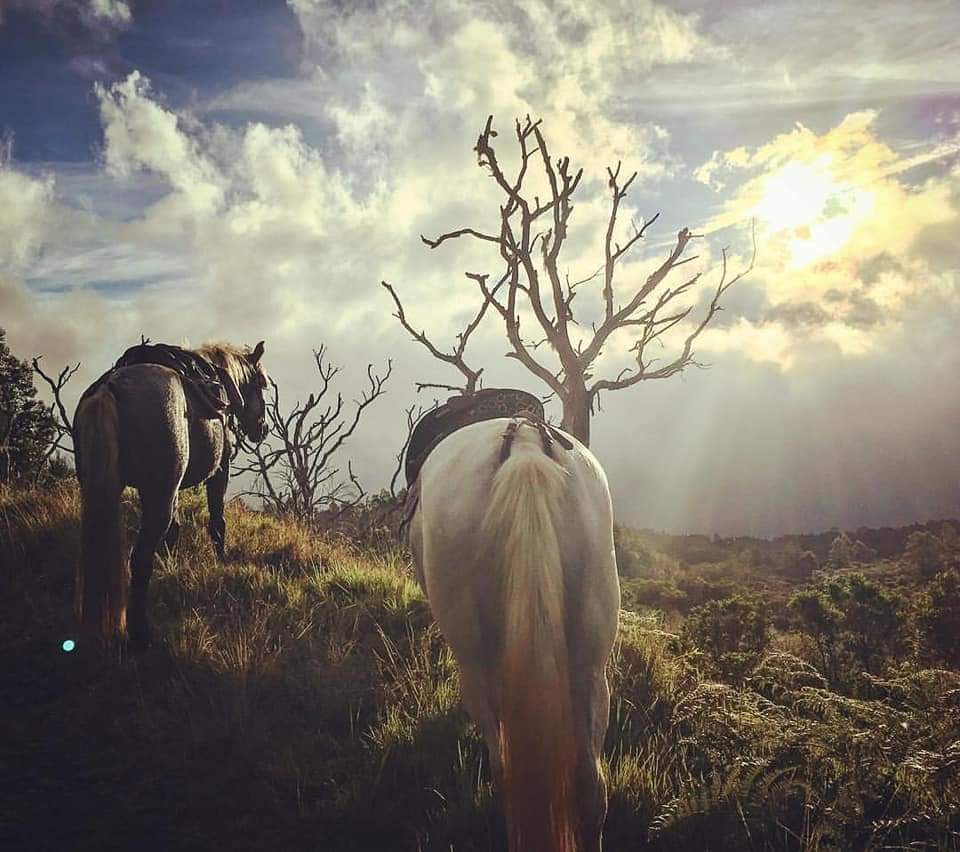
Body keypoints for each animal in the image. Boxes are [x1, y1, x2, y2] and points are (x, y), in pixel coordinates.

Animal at [72, 341, 269, 647]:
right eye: (260, 383)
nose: (262, 428)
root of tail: (109, 389)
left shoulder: (170, 489)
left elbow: (173, 531)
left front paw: (169, 564)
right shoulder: (218, 471)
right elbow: (217, 522)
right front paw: (221, 559)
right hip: (158, 497)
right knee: (140, 560)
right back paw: (140, 635)